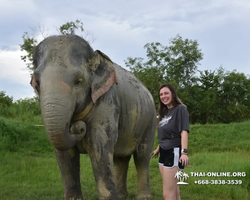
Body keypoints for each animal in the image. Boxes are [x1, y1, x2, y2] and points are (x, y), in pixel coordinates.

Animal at [29, 34, 156, 200]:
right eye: (37, 82)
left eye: (78, 81)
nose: (77, 126)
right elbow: (64, 154)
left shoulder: (107, 100)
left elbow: (99, 147)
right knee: (120, 158)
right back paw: (122, 196)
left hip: (150, 119)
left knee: (142, 155)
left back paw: (144, 197)